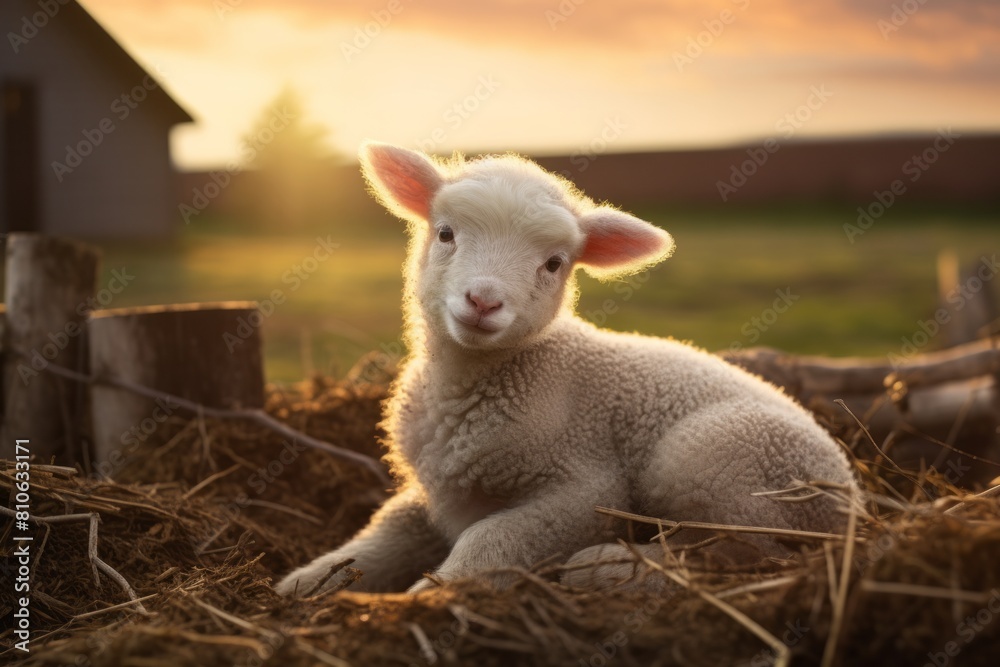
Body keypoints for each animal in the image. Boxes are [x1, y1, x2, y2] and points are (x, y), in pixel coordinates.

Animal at [274, 141, 858, 596]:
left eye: (554, 264)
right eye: (445, 233)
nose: (483, 301)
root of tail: (853, 497)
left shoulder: (585, 485)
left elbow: (493, 539)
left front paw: (433, 595)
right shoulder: (432, 492)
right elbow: (380, 533)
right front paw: (303, 583)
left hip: (721, 461)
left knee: (739, 553)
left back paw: (603, 568)